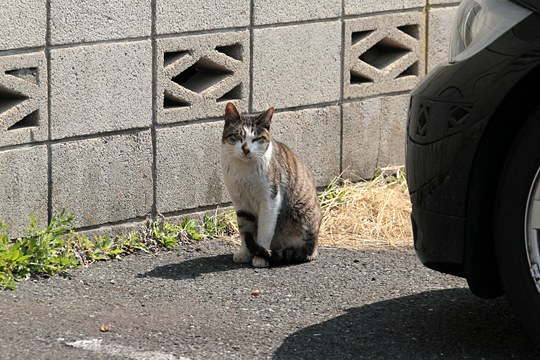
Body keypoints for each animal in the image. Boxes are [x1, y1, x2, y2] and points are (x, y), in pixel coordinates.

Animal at [219, 101, 320, 268]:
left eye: (256, 139)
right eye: (237, 136)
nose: (246, 149)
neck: (245, 170)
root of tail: (314, 248)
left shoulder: (270, 200)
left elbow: (264, 232)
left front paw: (261, 257)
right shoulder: (241, 203)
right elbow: (244, 231)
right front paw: (245, 253)